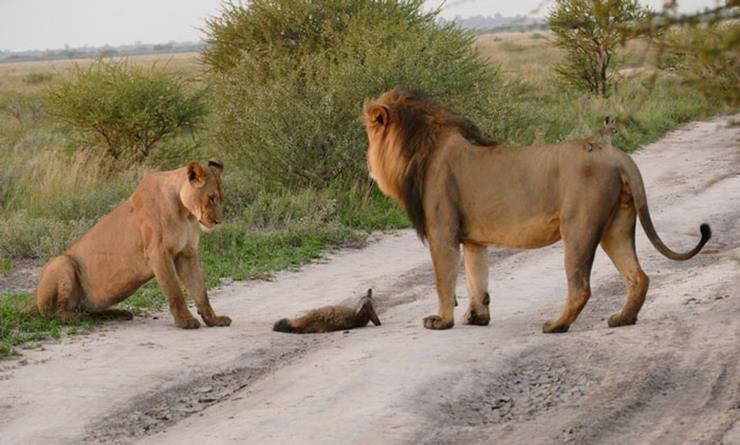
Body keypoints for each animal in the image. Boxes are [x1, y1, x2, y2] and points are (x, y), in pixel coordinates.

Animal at [34, 158, 231, 328]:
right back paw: (79, 317)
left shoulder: (187, 253)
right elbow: (174, 291)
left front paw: (214, 320)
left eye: (221, 198)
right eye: (211, 198)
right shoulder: (158, 252)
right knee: (54, 313)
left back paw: (118, 313)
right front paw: (185, 321)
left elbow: (200, 291)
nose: (218, 221)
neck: (185, 213)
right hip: (62, 262)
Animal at [364, 89, 712, 332]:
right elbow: (477, 278)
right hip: (617, 225)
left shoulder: (442, 232)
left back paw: (556, 325)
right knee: (638, 276)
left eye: (369, 133)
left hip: (579, 228)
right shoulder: (473, 239)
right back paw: (622, 319)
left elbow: (444, 280)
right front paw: (477, 317)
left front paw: (441, 320)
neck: (419, 148)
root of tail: (615, 155)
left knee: (581, 287)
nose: (367, 164)